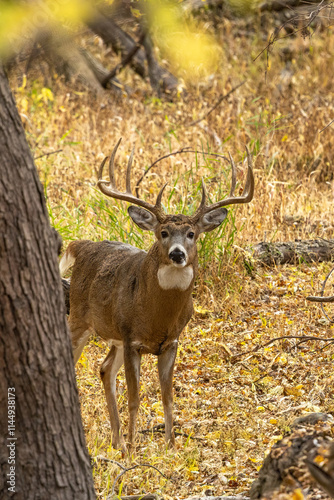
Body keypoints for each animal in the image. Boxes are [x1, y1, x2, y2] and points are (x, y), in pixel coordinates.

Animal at [59, 140, 253, 454]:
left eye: (191, 233)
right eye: (163, 232)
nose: (177, 254)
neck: (156, 316)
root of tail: (81, 244)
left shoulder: (171, 341)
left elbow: (167, 397)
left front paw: (170, 445)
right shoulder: (131, 339)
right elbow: (135, 397)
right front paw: (133, 446)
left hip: (113, 334)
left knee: (105, 369)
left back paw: (115, 440)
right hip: (79, 317)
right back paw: (116, 440)